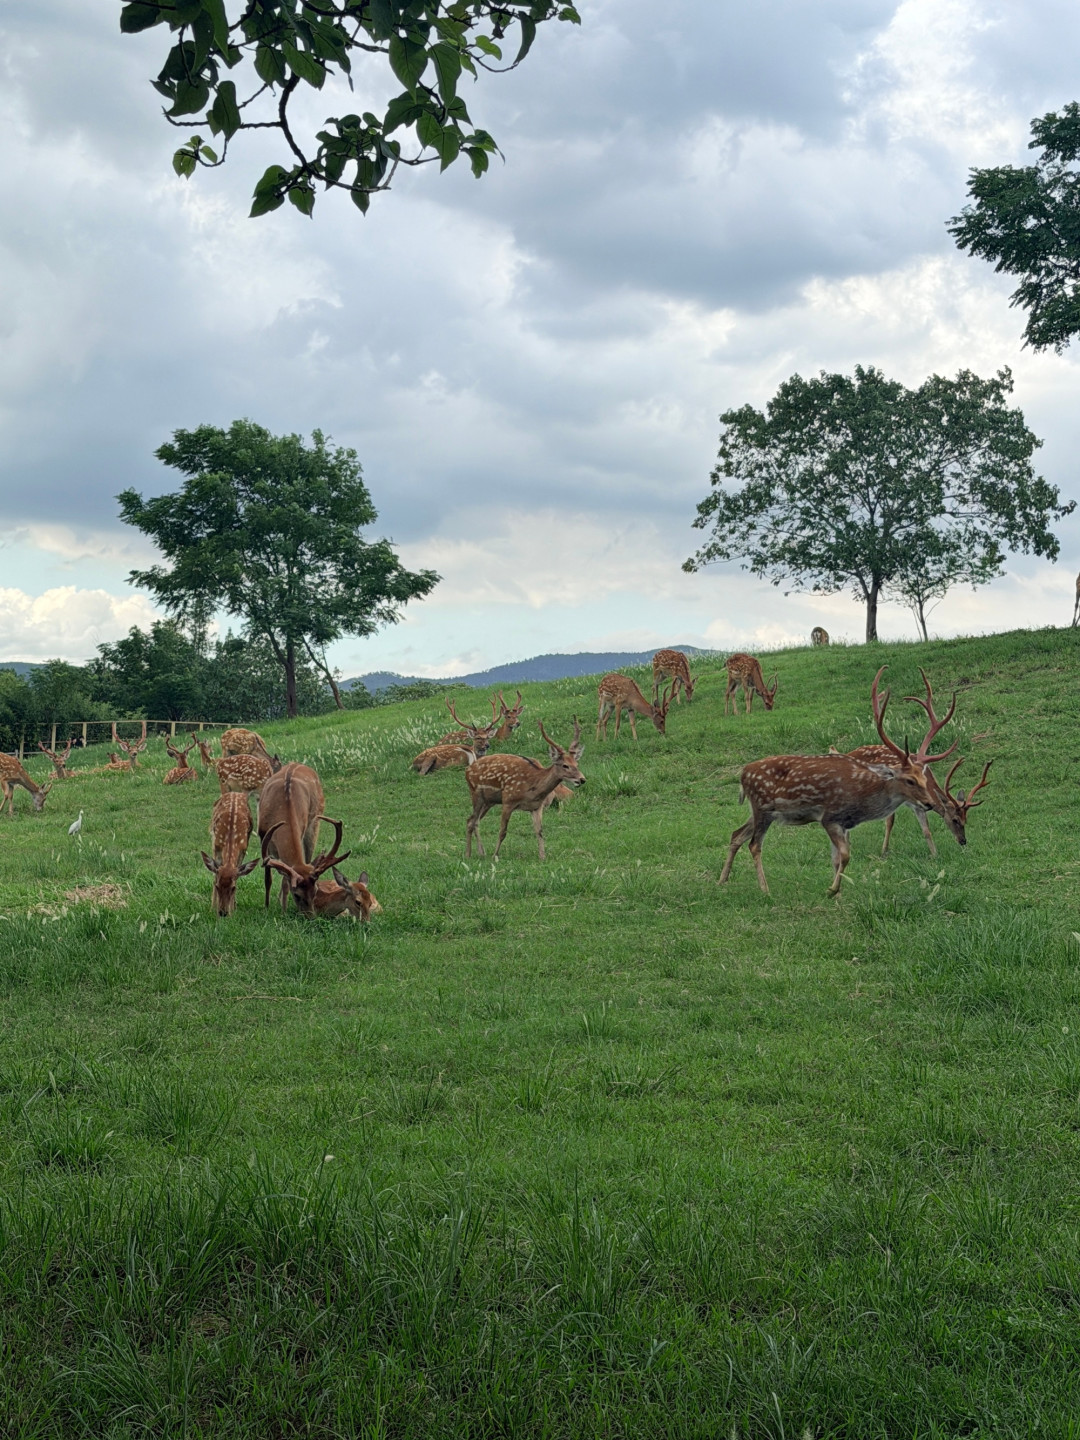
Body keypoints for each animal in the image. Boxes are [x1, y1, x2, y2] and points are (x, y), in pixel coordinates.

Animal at [257, 762, 349, 914]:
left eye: (315, 891)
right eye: (297, 894)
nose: (311, 915)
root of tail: (296, 763)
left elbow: (285, 880)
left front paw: (283, 909)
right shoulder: (262, 835)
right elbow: (268, 878)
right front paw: (267, 906)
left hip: (314, 823)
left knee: (308, 858)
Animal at [465, 718, 585, 860]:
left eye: (576, 764)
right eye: (565, 765)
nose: (582, 779)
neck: (533, 788)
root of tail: (468, 770)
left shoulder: (537, 806)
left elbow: (539, 831)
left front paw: (542, 857)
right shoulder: (508, 801)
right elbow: (502, 831)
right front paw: (495, 856)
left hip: (489, 801)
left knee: (474, 820)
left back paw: (480, 852)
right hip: (476, 793)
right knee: (471, 821)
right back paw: (468, 854)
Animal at [719, 668, 936, 897]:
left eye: (924, 777)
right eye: (909, 780)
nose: (930, 803)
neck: (862, 798)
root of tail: (743, 774)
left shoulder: (844, 823)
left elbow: (837, 859)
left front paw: (837, 893)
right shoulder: (830, 817)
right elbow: (845, 855)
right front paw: (832, 889)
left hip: (759, 811)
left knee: (736, 834)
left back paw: (722, 880)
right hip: (763, 807)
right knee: (754, 844)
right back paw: (764, 888)